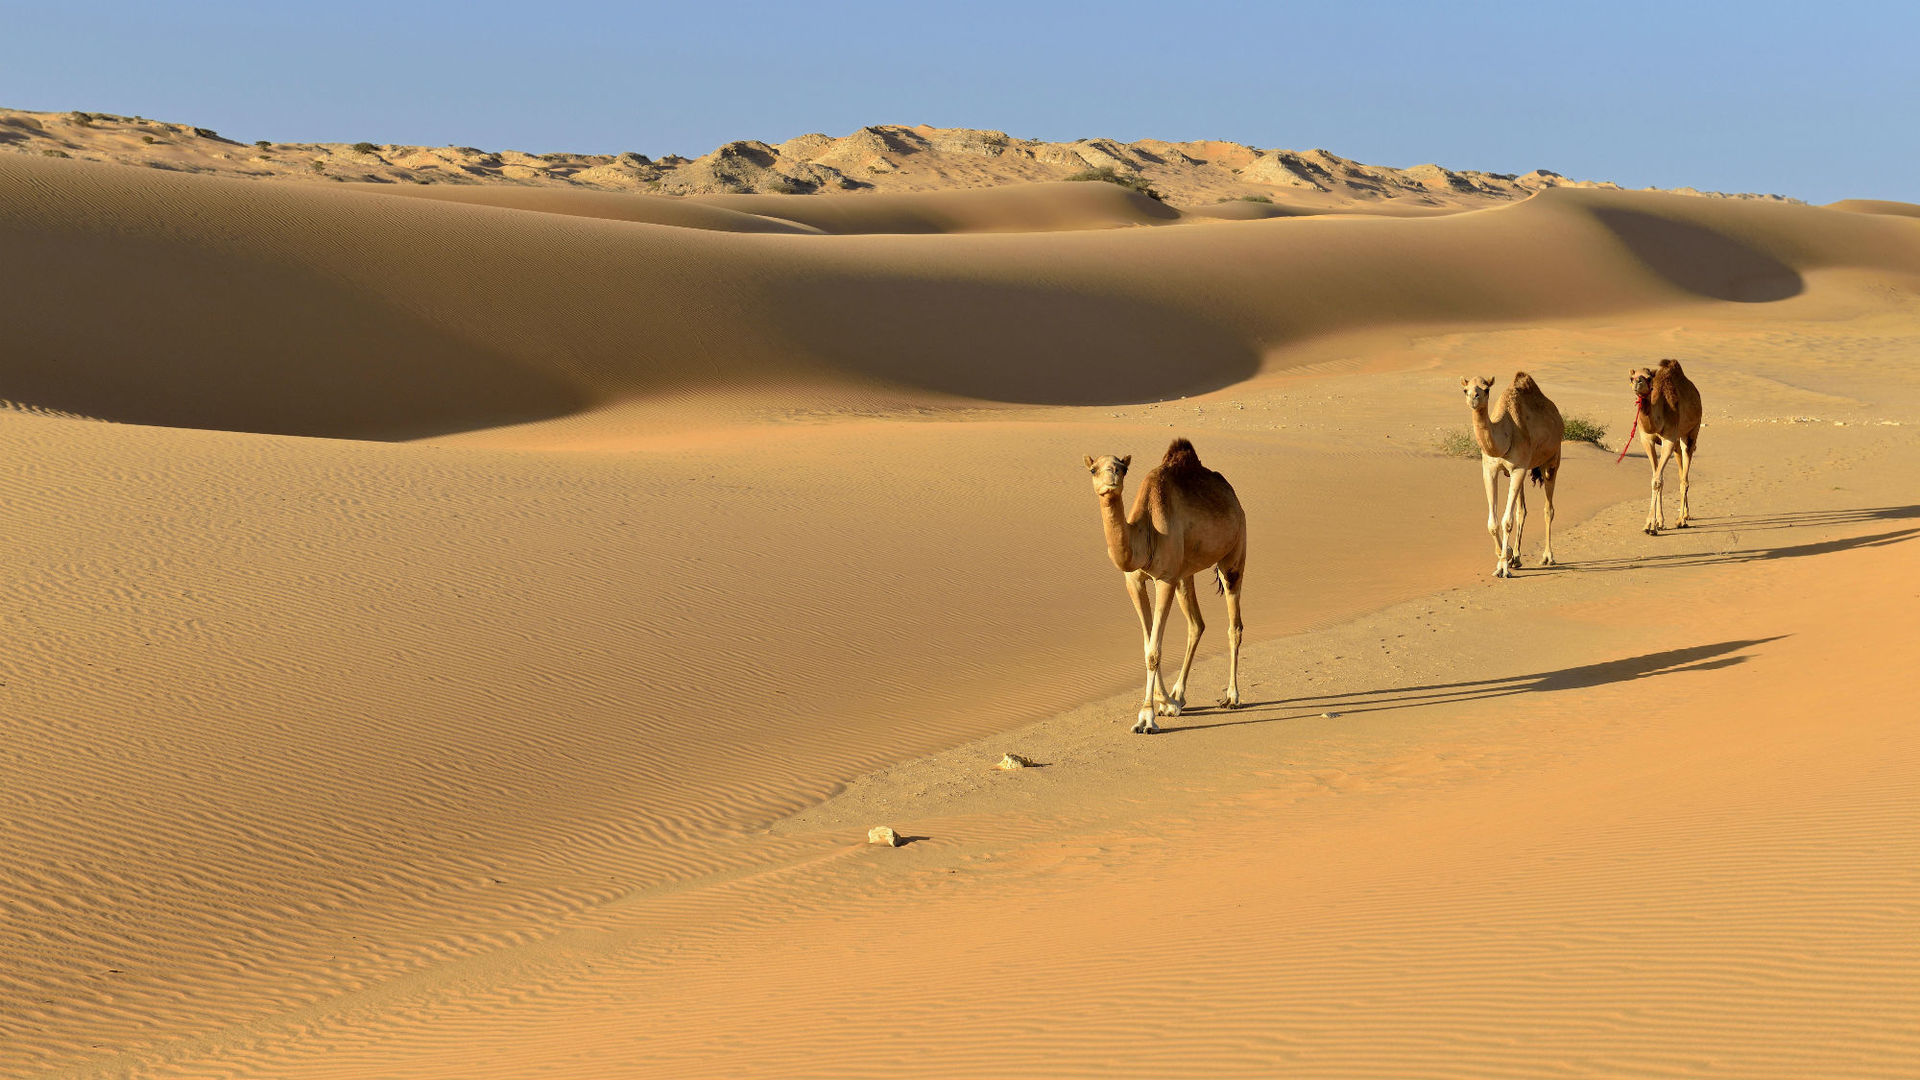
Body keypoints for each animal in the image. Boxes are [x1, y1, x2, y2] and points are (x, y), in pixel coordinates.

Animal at [1082, 438, 1244, 730]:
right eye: (1093, 469)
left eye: (1122, 468)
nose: (1111, 478)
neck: (1145, 534)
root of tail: (1234, 498)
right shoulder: (1134, 581)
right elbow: (1148, 644)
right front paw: (1166, 702)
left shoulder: (1165, 579)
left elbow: (1154, 651)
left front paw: (1146, 717)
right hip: (1185, 574)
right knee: (1197, 624)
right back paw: (1180, 694)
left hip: (1234, 553)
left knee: (1234, 624)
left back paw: (1232, 697)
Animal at [1459, 372, 1566, 576]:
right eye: (1465, 390)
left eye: (1486, 389)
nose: (1473, 399)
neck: (1505, 436)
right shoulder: (1489, 470)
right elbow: (1493, 523)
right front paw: (1506, 554)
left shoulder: (1518, 469)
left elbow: (1506, 521)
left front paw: (1503, 567)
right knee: (1521, 511)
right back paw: (1516, 558)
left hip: (1552, 459)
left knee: (1549, 508)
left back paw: (1547, 557)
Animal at [1628, 359, 1704, 530]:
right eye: (1631, 378)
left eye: (1649, 378)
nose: (1638, 382)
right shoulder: (1646, 440)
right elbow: (1656, 478)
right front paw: (1658, 521)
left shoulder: (1668, 439)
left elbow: (1657, 481)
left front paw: (1650, 525)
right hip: (1677, 443)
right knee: (1681, 471)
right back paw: (1685, 515)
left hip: (1691, 432)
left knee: (1685, 476)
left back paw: (1681, 520)